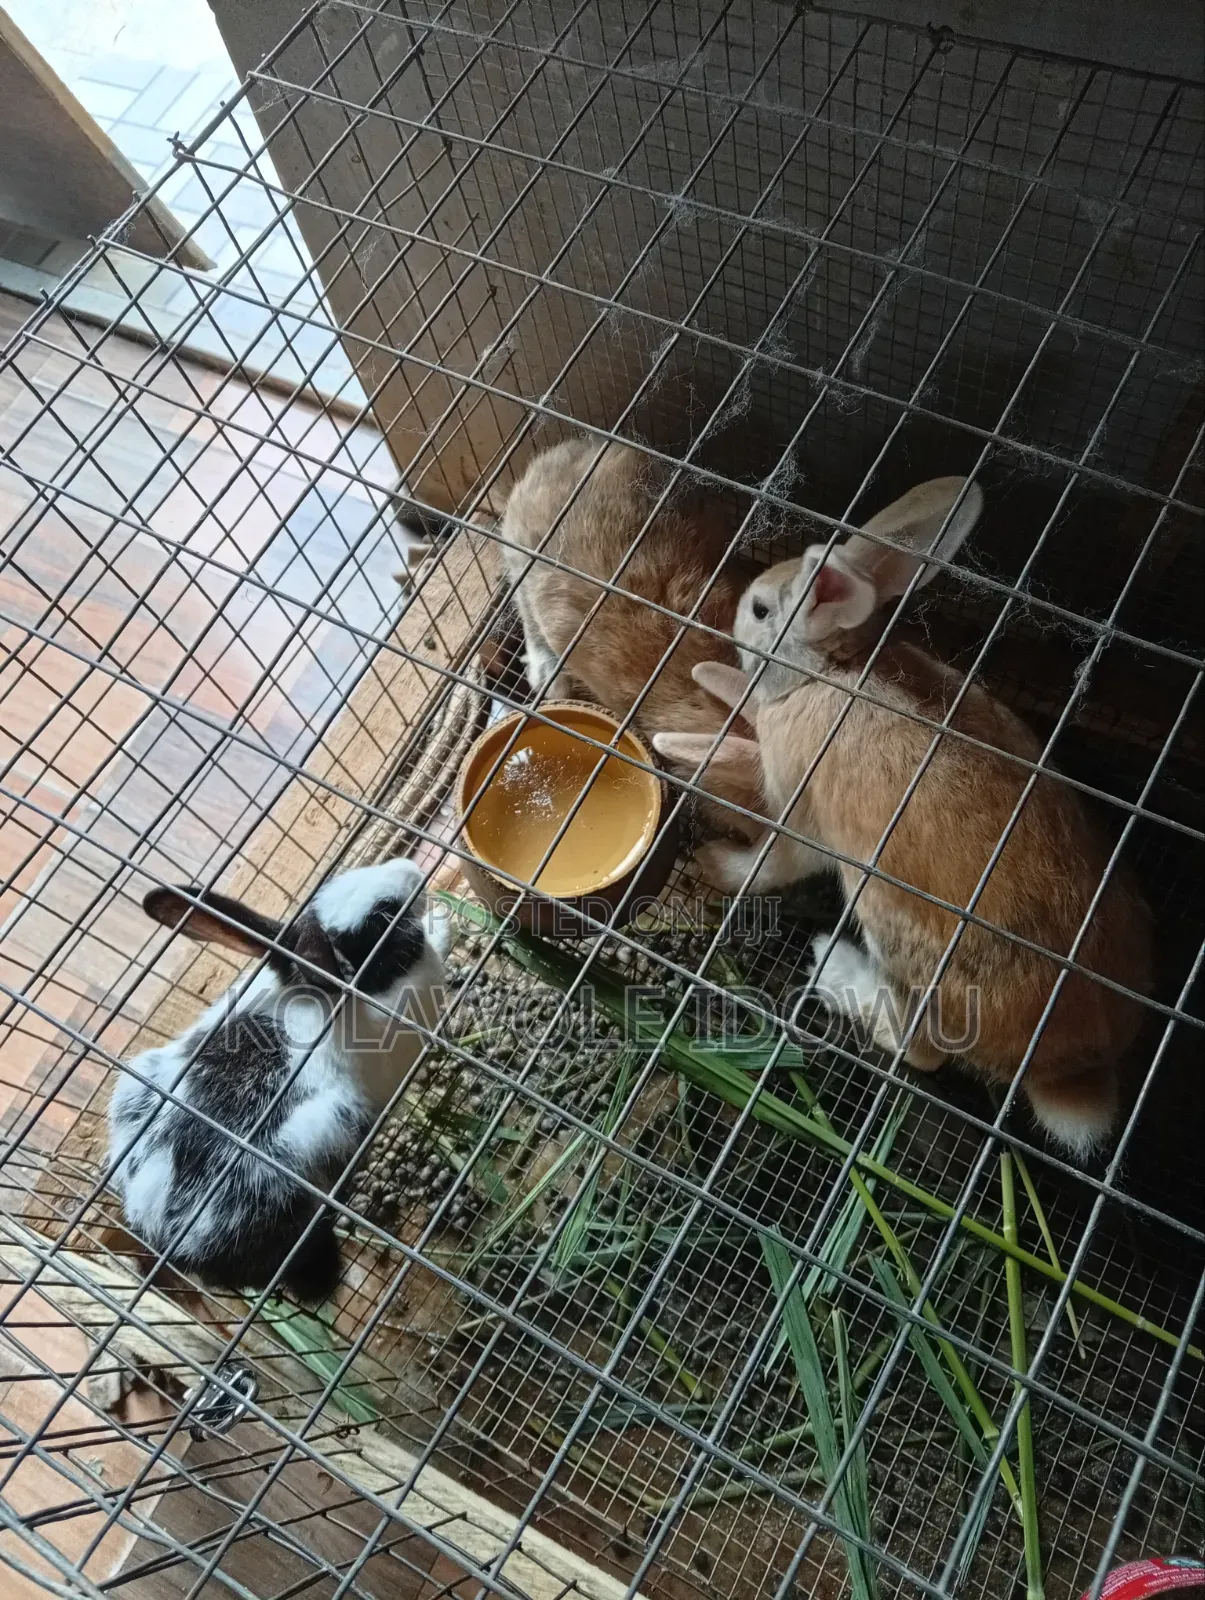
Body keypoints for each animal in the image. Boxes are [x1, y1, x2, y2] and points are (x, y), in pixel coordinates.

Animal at [655, 477, 1153, 1155]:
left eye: (759, 611)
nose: (734, 618)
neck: (832, 672)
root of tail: (1071, 1070)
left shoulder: (798, 814)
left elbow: (771, 863)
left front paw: (715, 864)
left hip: (891, 930)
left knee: (922, 1053)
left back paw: (834, 971)